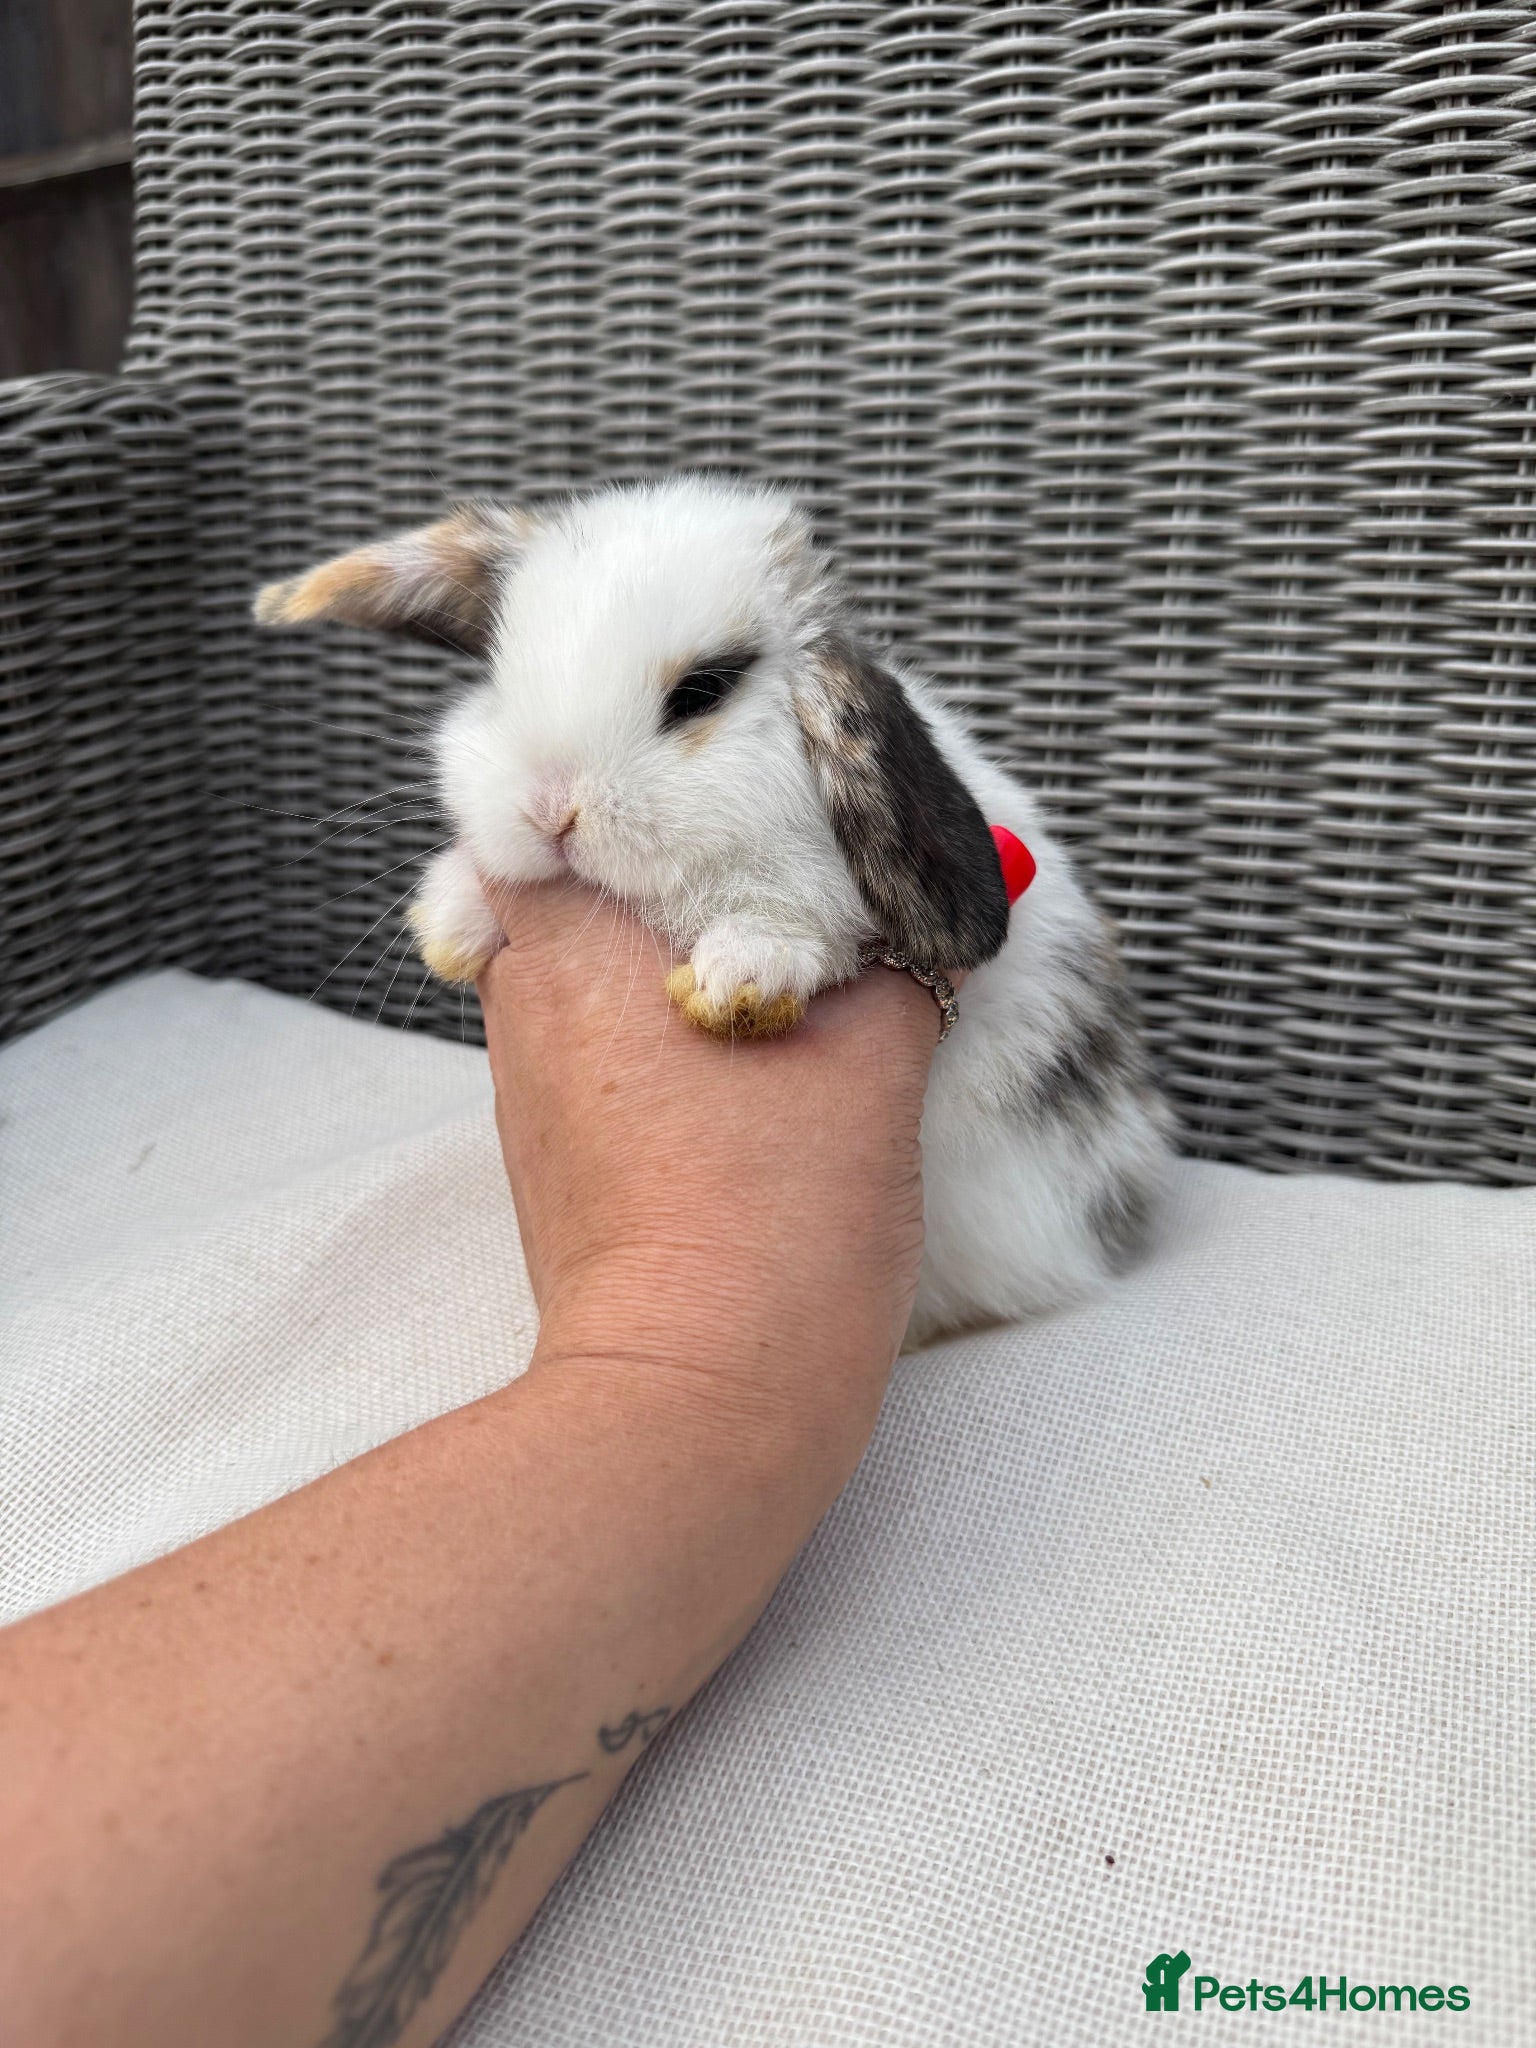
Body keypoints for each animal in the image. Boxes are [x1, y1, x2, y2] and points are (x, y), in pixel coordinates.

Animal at [255, 475, 1173, 1345]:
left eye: (706, 689)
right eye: (499, 677)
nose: (551, 811)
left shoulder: (818, 899)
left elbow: (801, 927)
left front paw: (738, 979)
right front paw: (446, 922)